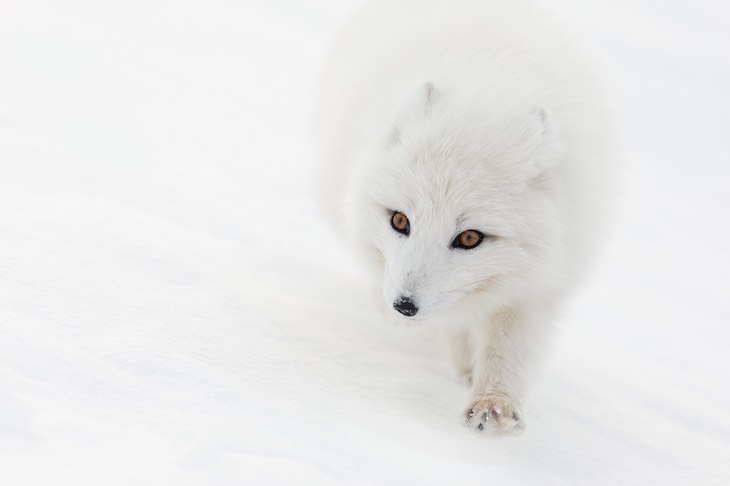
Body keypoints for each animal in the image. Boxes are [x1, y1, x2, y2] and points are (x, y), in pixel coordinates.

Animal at [310, 0, 612, 432]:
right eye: (399, 220)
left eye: (470, 238)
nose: (404, 305)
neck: (490, 92)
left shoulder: (539, 279)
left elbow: (510, 346)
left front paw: (494, 404)